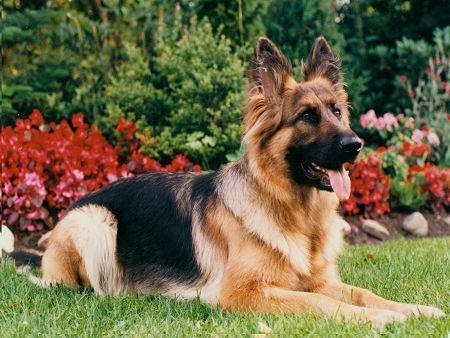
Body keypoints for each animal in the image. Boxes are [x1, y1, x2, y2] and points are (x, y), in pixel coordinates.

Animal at [10, 36, 442, 328]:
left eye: (337, 112)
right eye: (306, 116)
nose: (356, 145)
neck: (294, 212)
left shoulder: (317, 281)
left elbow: (365, 293)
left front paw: (416, 309)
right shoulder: (244, 293)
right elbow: (322, 305)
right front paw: (384, 320)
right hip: (96, 221)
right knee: (87, 288)